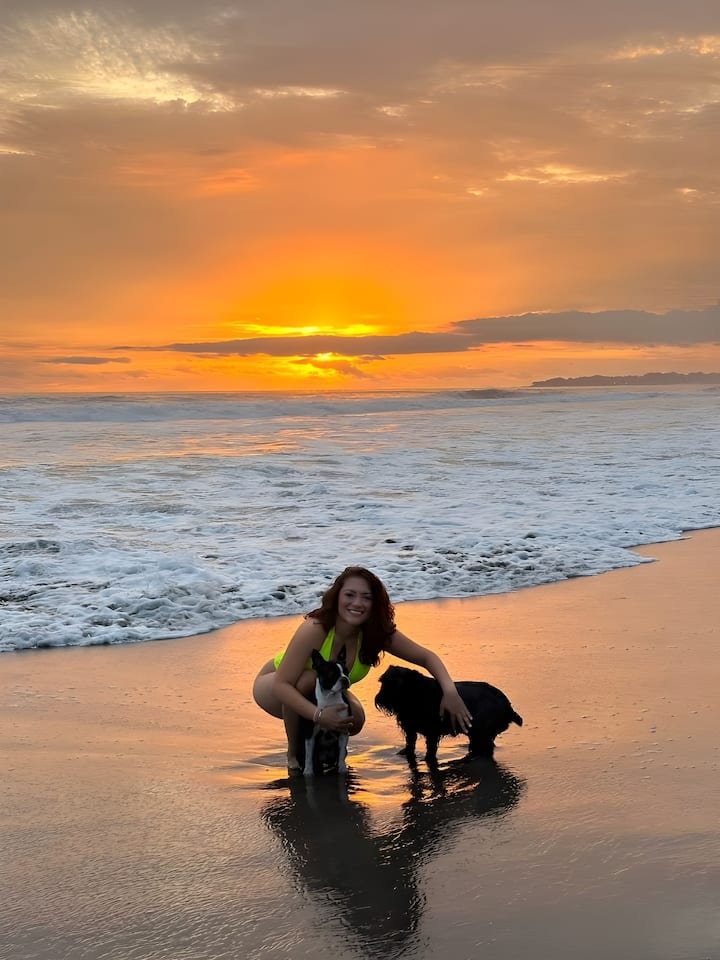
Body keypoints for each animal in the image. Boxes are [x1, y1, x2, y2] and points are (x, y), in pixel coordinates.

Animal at [302, 647, 351, 776]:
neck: (330, 697)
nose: (344, 679)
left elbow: (341, 753)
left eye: (346, 672)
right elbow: (308, 755)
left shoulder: (343, 730)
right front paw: (308, 771)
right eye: (332, 674)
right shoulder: (310, 733)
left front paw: (342, 769)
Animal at [375, 665, 523, 766]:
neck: (414, 693)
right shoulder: (411, 730)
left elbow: (430, 751)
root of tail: (508, 708)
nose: (379, 699)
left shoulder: (432, 733)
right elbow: (410, 745)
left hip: (481, 733)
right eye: (382, 681)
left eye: (395, 683)